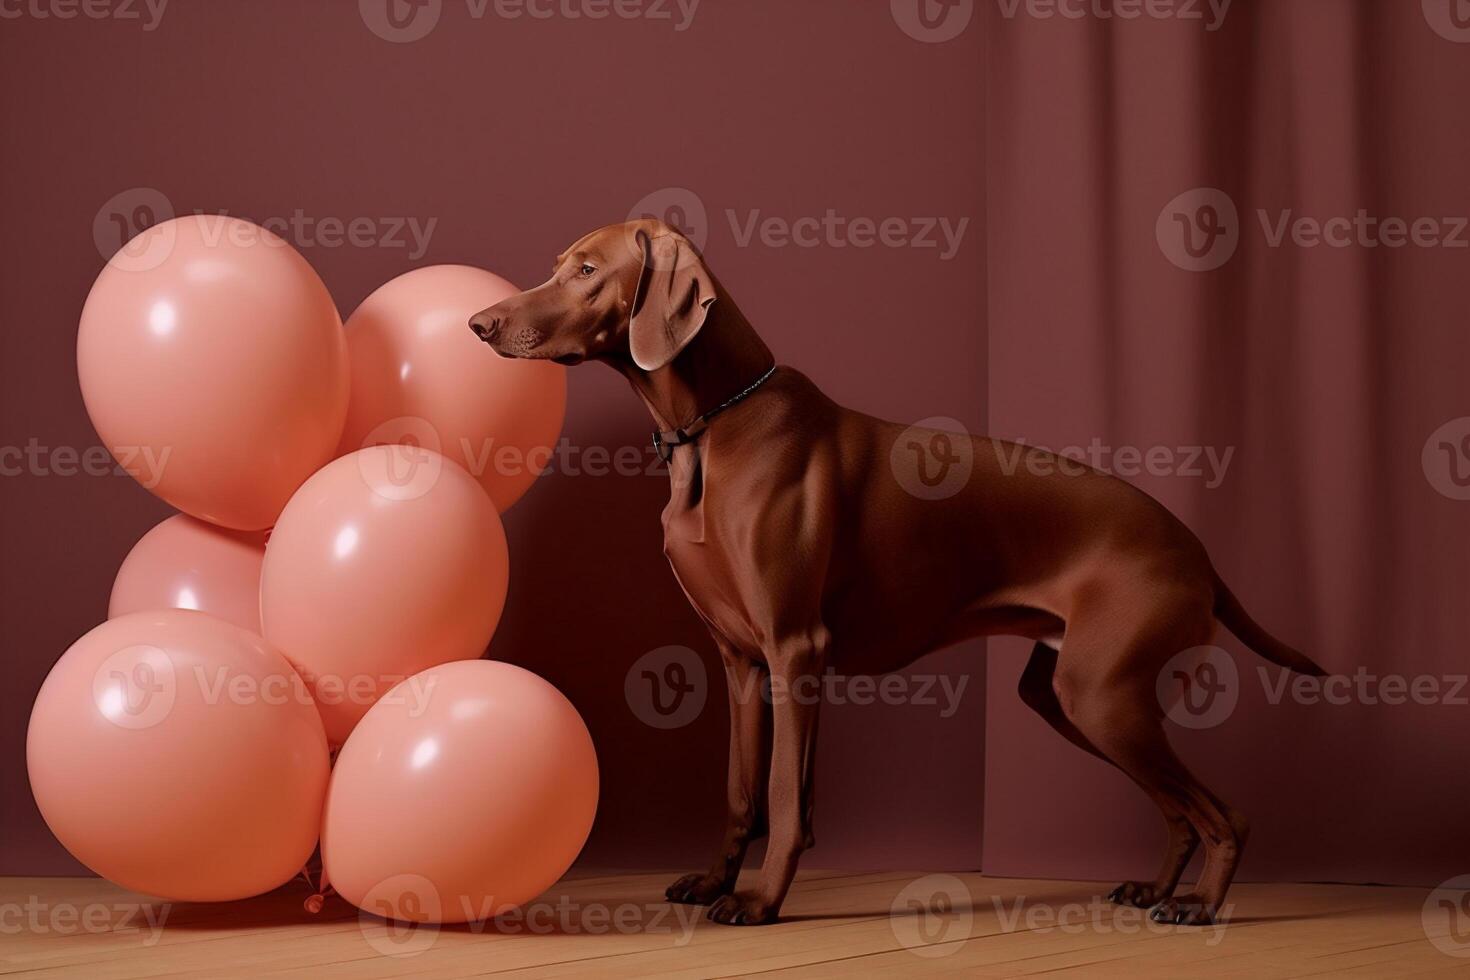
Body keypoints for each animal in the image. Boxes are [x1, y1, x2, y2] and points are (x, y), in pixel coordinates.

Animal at [473, 220, 1334, 928]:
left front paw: (758, 901)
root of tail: (1200, 551)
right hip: (1068, 696)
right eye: (558, 265)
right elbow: (743, 790)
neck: (714, 426)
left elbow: (783, 794)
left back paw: (1199, 906)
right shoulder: (743, 661)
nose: (480, 325)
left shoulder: (796, 649)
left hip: (1102, 694)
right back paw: (1157, 889)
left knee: (1224, 814)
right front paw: (718, 882)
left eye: (587, 270)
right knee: (1179, 810)